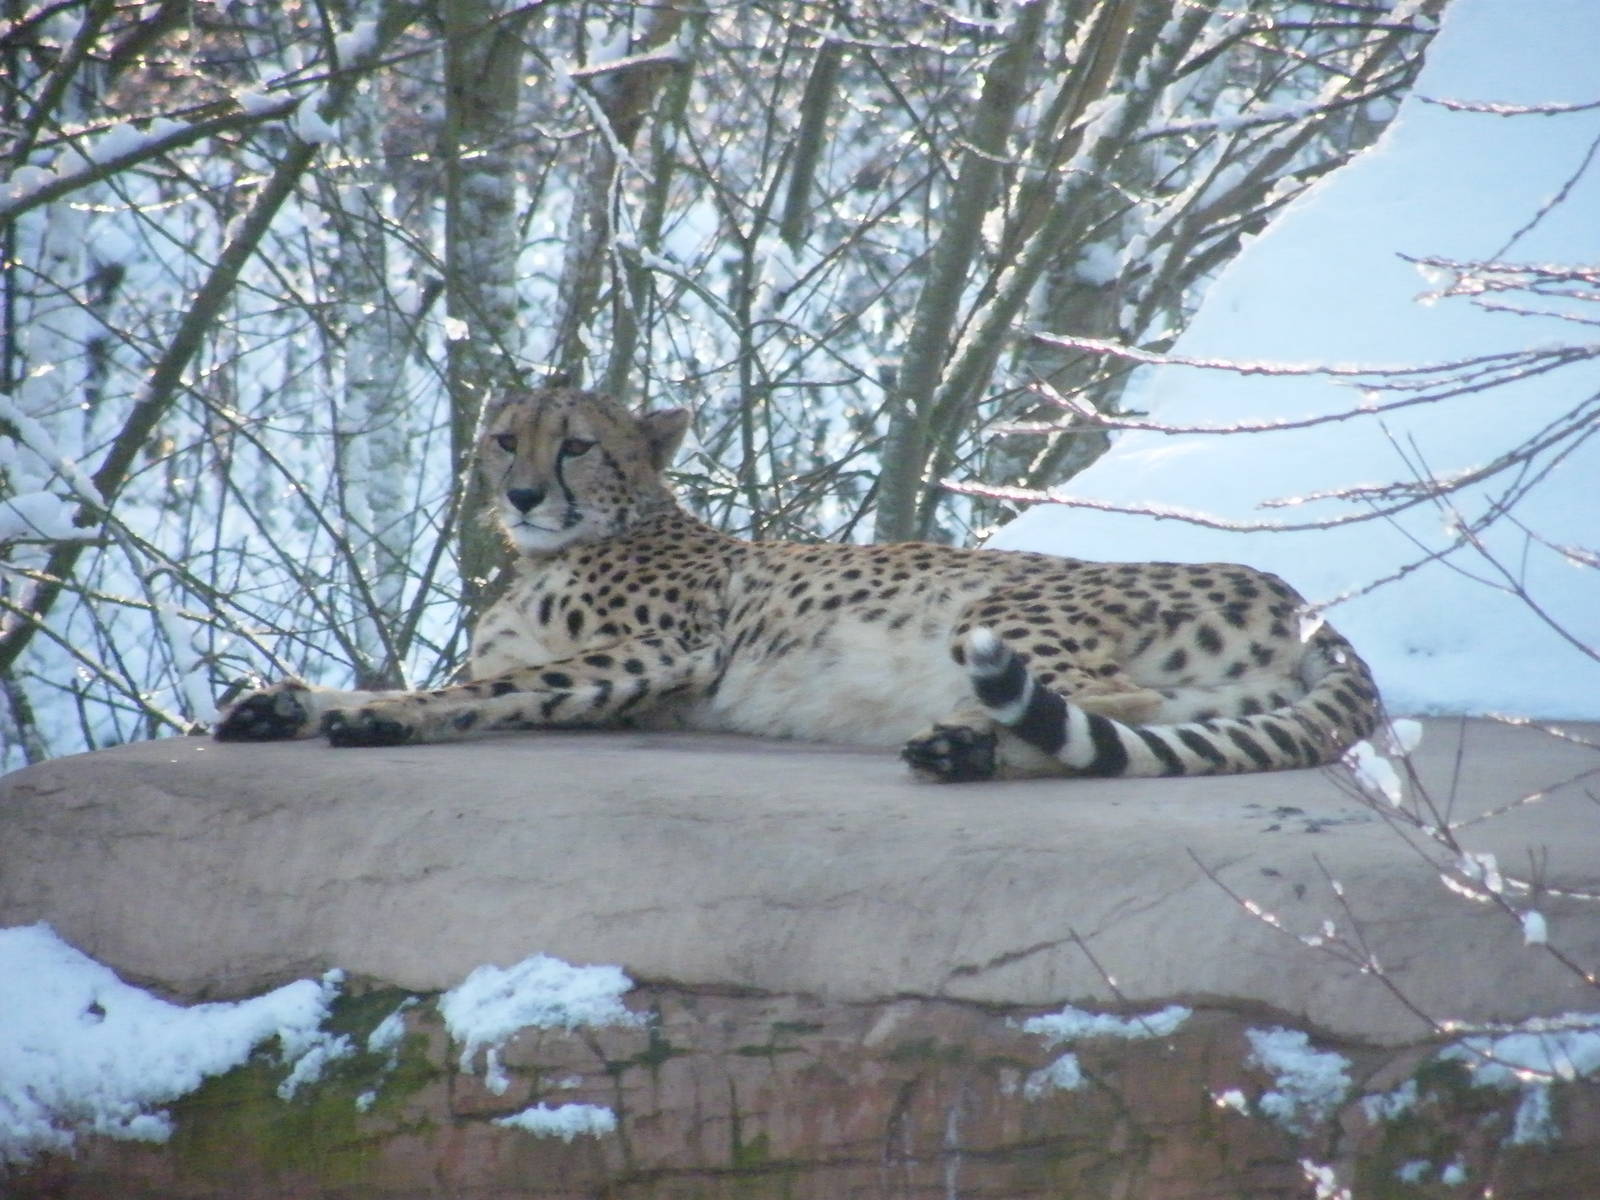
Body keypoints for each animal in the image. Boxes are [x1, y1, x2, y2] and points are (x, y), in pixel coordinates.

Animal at [215, 385, 1383, 781]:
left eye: (578, 444)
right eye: (505, 439)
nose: (523, 492)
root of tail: (1294, 593)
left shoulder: (669, 650)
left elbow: (476, 690)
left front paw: (380, 717)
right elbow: (463, 678)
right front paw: (281, 701)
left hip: (1001, 609)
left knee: (1114, 706)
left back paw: (965, 741)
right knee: (1135, 722)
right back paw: (961, 748)